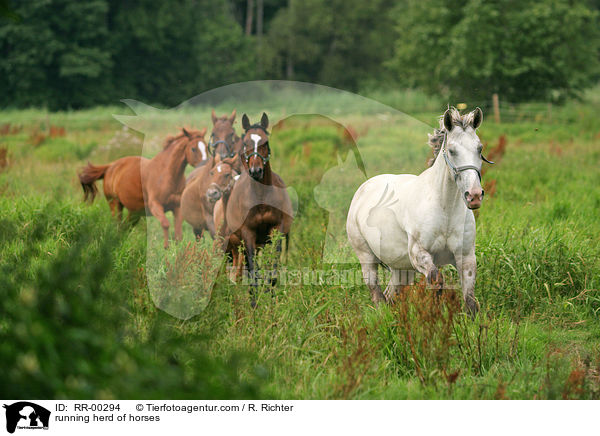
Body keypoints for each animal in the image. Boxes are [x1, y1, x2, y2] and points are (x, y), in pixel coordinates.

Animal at [78, 127, 207, 247]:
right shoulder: (155, 205)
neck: (167, 174)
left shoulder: (177, 207)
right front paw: (166, 247)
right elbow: (165, 224)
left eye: (206, 147)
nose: (204, 166)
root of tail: (110, 167)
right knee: (117, 225)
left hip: (135, 212)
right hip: (115, 204)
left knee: (125, 227)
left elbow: (178, 234)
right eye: (193, 148)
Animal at [220, 114, 296, 308]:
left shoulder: (276, 230)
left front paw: (272, 301)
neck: (261, 197)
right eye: (246, 142)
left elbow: (273, 270)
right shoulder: (248, 234)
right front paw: (254, 304)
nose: (256, 171)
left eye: (265, 142)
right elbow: (253, 271)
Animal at [346, 107, 492, 316]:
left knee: (390, 294)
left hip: (401, 268)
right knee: (377, 294)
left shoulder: (465, 257)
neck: (445, 210)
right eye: (452, 150)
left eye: (479, 148)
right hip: (367, 258)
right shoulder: (419, 254)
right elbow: (437, 282)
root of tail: (364, 188)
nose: (474, 195)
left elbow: (470, 300)